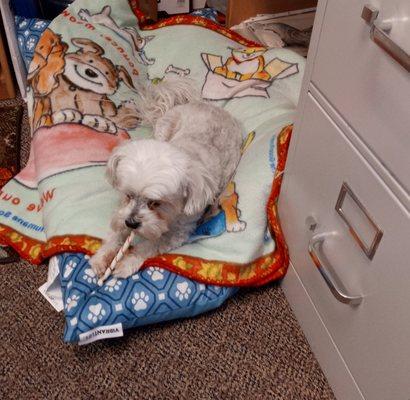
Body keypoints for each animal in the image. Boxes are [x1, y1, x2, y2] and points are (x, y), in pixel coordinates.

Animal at [90, 76, 243, 278]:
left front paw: (127, 262)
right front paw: (102, 256)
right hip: (165, 127)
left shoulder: (178, 231)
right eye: (128, 195)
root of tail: (208, 105)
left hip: (230, 167)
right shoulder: (122, 211)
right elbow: (115, 231)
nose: (131, 223)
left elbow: (150, 244)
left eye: (155, 203)